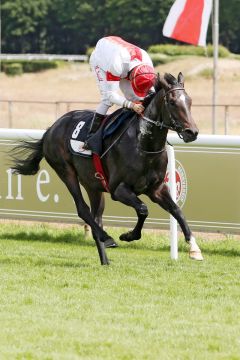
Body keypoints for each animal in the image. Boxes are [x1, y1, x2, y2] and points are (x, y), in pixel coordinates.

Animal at [11, 73, 202, 264]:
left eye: (190, 101)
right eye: (172, 102)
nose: (192, 132)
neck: (142, 145)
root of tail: (51, 128)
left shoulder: (156, 189)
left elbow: (177, 211)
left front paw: (194, 248)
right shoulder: (118, 190)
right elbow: (143, 209)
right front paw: (128, 235)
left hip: (92, 185)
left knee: (96, 216)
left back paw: (105, 260)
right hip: (66, 171)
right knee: (82, 209)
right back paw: (107, 238)